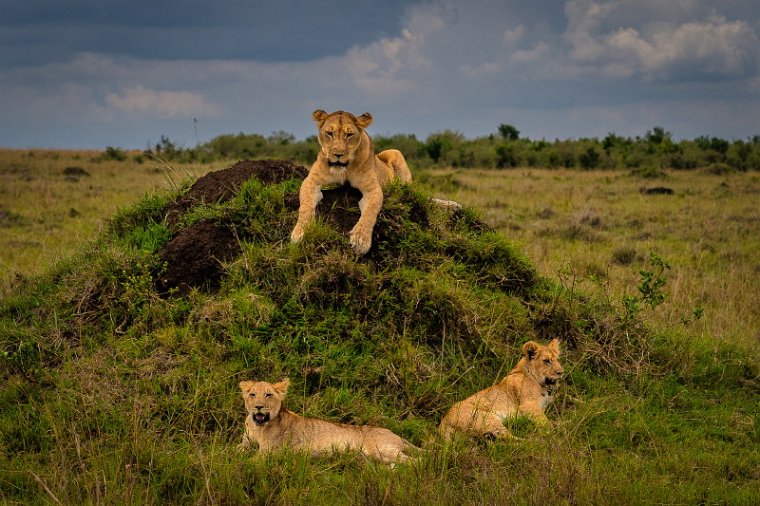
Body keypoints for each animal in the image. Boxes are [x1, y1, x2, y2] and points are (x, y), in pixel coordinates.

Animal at [236, 378, 418, 464]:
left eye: (268, 395)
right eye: (252, 394)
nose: (259, 407)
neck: (258, 427)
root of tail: (396, 435)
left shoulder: (269, 452)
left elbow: (248, 463)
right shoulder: (246, 444)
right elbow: (234, 451)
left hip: (383, 451)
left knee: (416, 461)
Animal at [290, 109, 410, 255]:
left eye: (349, 135)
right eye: (329, 133)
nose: (338, 154)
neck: (344, 170)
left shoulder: (373, 189)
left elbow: (370, 212)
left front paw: (361, 241)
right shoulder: (312, 181)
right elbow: (306, 206)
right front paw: (300, 233)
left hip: (395, 152)